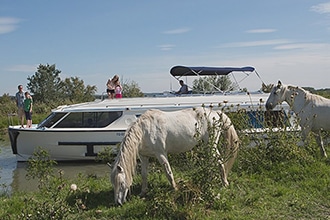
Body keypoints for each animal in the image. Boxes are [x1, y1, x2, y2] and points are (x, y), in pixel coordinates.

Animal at [109, 107, 238, 205]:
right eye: (113, 184)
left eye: (121, 183)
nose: (118, 203)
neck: (144, 130)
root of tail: (215, 113)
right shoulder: (144, 157)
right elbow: (144, 175)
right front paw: (143, 192)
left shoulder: (161, 154)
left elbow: (168, 172)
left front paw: (175, 188)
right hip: (208, 145)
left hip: (211, 144)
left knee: (220, 161)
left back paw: (224, 183)